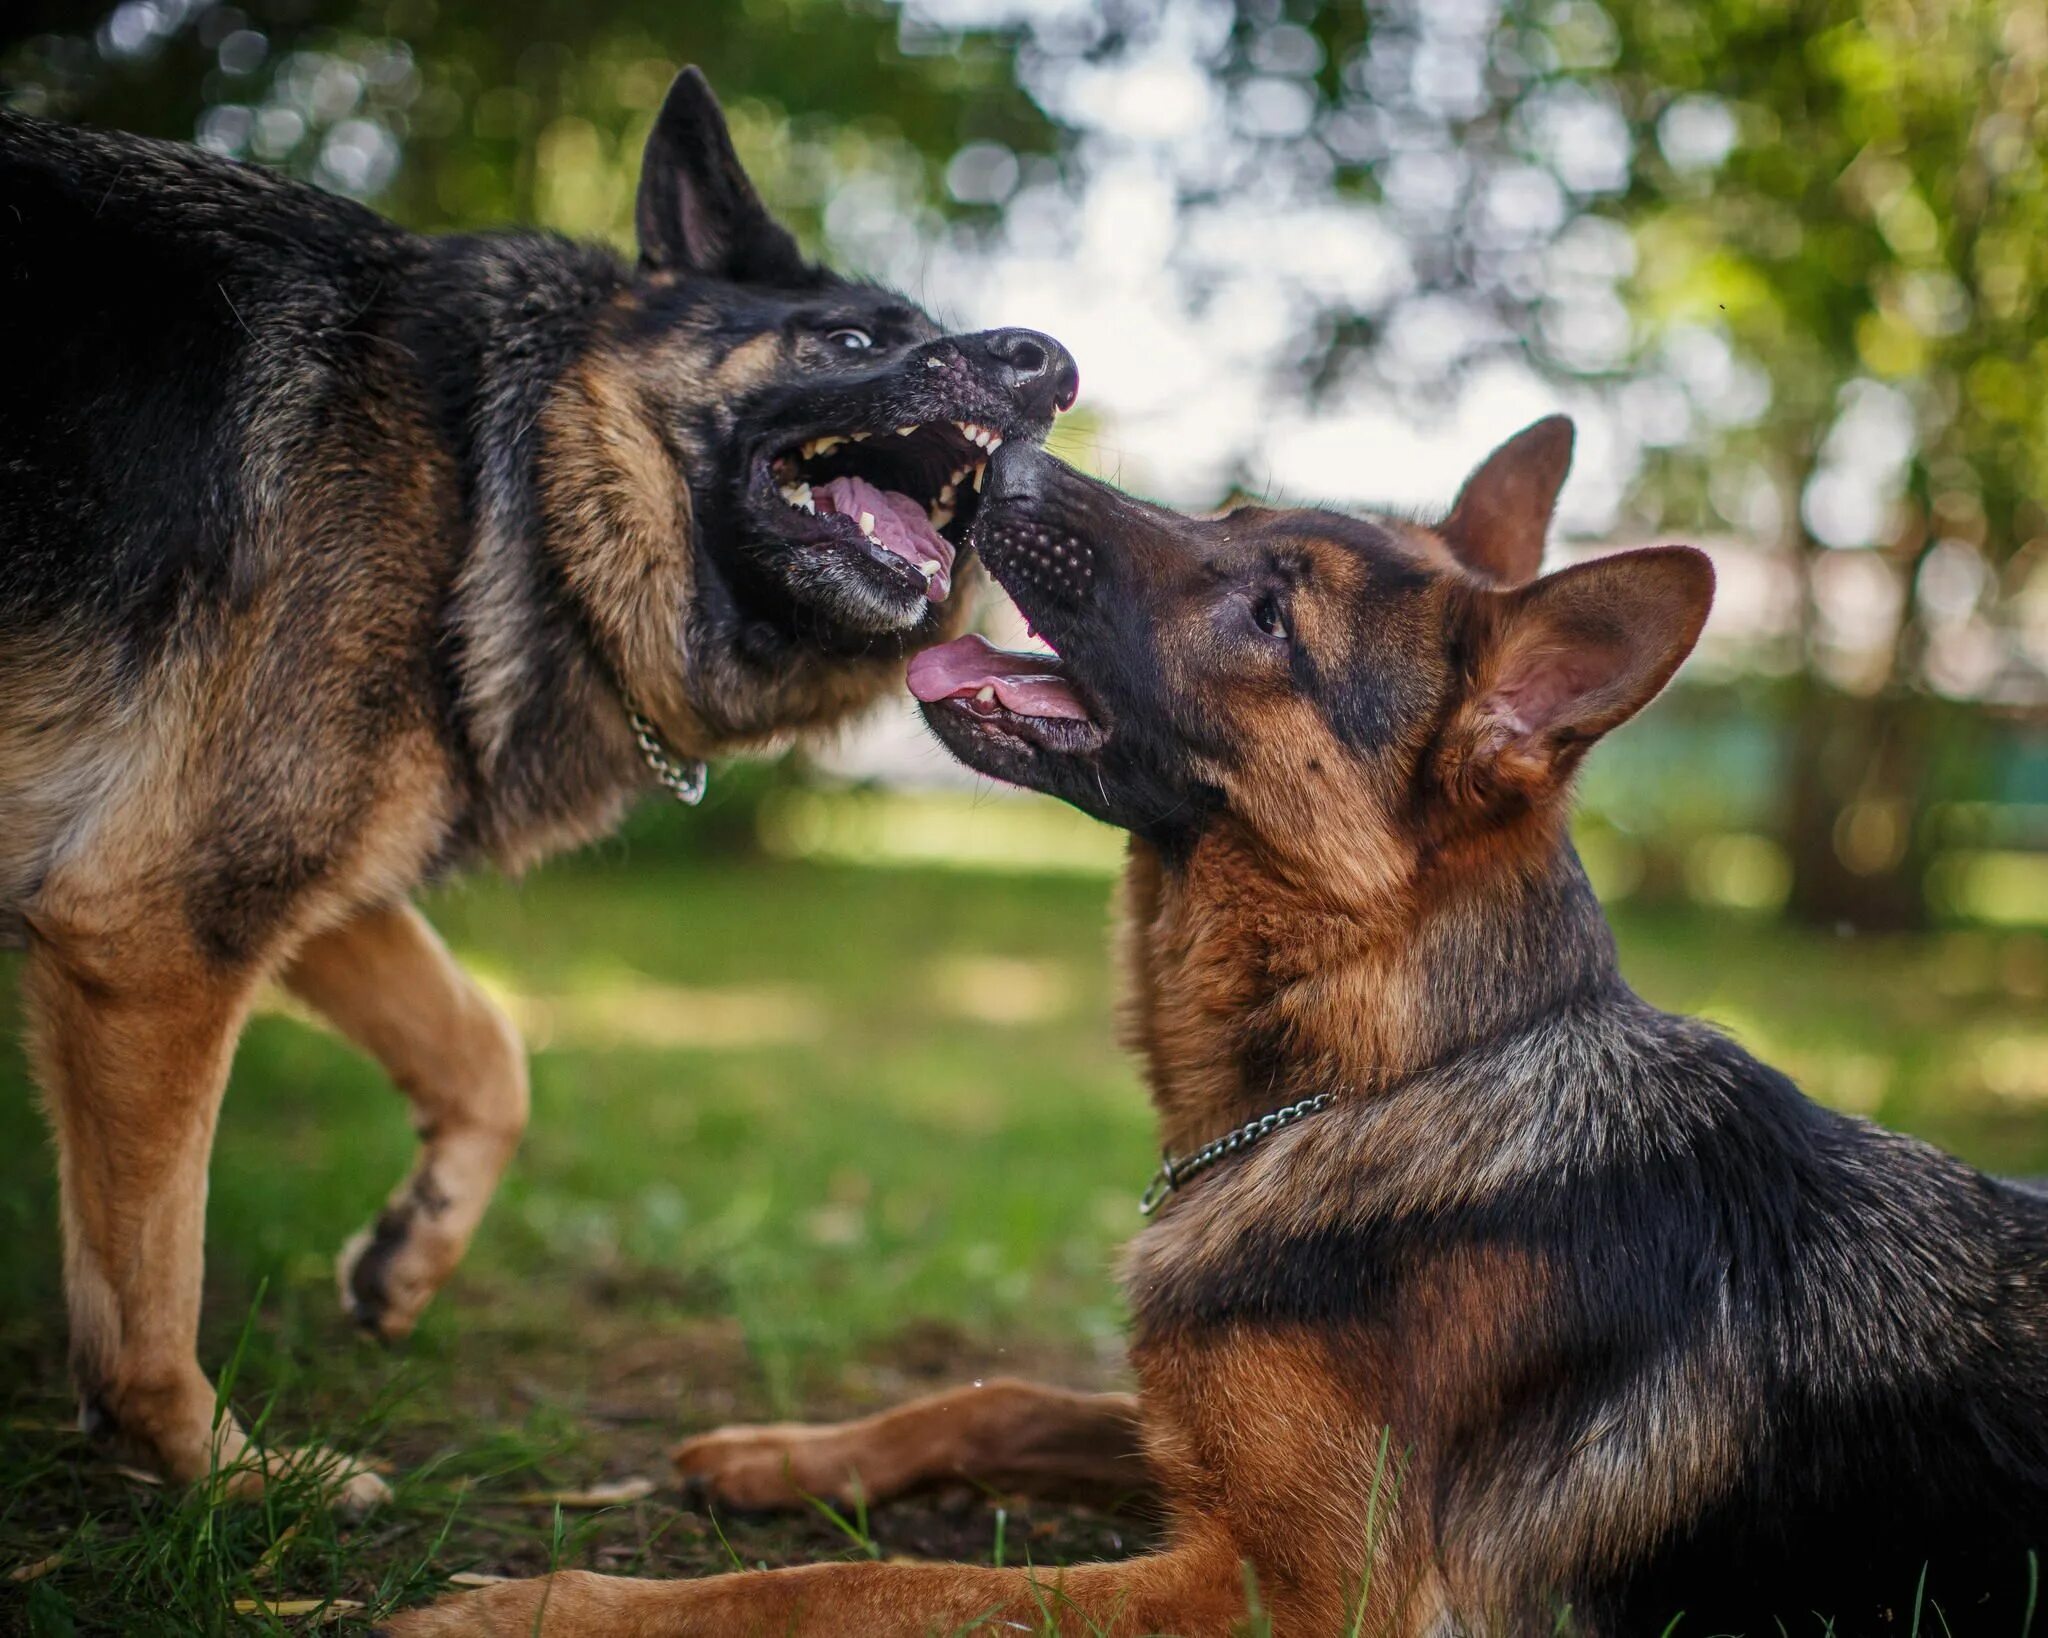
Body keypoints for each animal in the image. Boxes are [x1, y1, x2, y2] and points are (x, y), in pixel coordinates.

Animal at [0, 73, 1081, 1506]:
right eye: (851, 336)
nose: (1052, 365)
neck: (499, 471)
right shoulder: (157, 929)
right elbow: (149, 1275)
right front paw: (220, 1474)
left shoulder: (276, 884)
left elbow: (485, 1048)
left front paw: (410, 1253)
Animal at [395, 425, 2048, 1637]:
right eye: (1234, 516)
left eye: (1269, 612)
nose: (1004, 461)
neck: (1385, 1081)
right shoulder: (1197, 1470)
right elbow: (997, 1399)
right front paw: (785, 1453)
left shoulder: (1291, 1587)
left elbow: (879, 1585)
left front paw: (552, 1606)